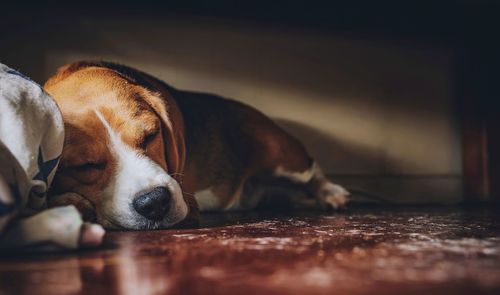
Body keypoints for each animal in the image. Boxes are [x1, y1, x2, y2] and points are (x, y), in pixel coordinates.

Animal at [45, 61, 348, 230]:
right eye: (86, 165)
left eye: (150, 135)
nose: (154, 202)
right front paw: (68, 204)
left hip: (284, 156)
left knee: (313, 171)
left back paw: (331, 192)